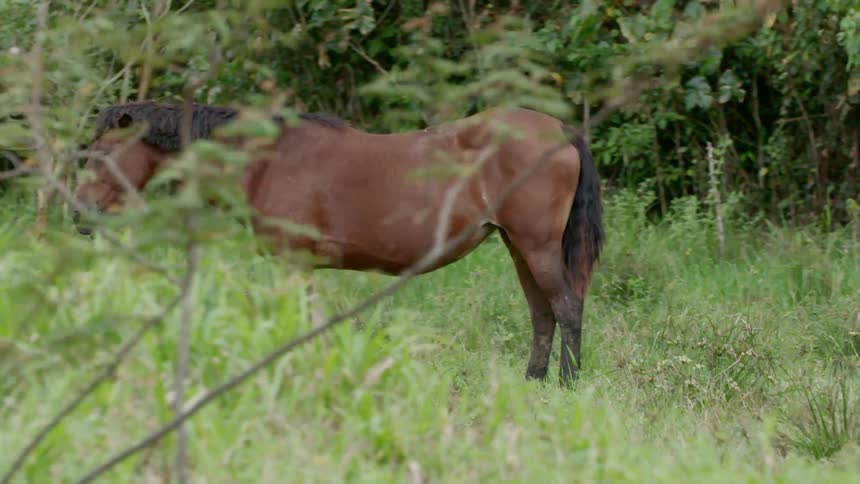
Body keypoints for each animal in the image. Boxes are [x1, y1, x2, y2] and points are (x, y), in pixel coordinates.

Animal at [73, 100, 604, 384]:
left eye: (100, 155)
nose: (78, 214)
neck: (266, 159)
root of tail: (560, 131)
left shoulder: (292, 264)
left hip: (536, 245)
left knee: (566, 308)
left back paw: (566, 384)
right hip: (519, 246)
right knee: (542, 313)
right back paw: (532, 382)